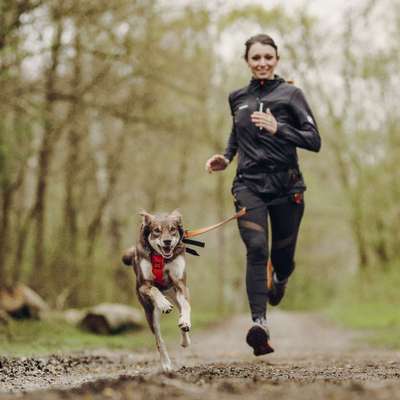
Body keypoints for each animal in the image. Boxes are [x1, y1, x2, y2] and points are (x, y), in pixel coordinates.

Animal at [122, 209, 191, 372]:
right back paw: (166, 364)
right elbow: (153, 289)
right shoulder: (143, 285)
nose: (167, 242)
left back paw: (185, 337)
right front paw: (164, 304)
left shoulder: (180, 284)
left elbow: (186, 306)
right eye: (156, 231)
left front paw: (185, 321)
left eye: (172, 229)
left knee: (181, 309)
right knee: (159, 340)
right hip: (150, 313)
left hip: (175, 295)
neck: (162, 258)